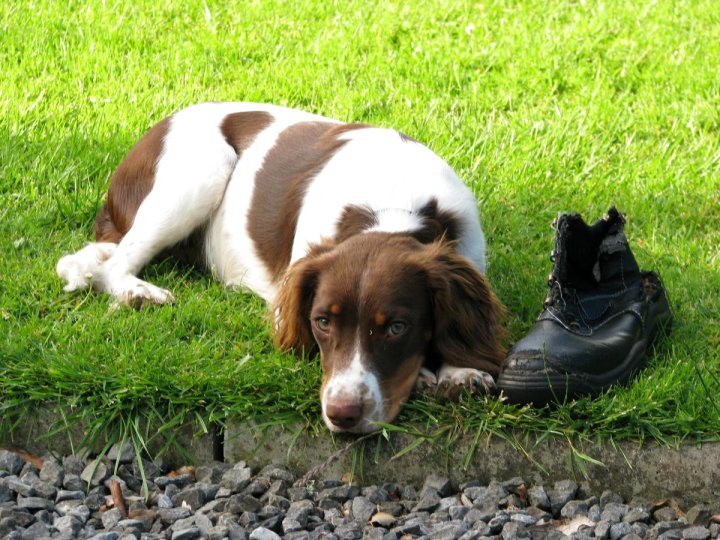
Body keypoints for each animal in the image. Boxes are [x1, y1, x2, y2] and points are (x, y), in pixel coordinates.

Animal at [57, 103, 506, 434]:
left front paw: (460, 370)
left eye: (397, 327)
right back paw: (139, 293)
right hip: (200, 170)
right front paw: (430, 375)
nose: (342, 414)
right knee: (113, 264)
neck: (391, 204)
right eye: (322, 322)